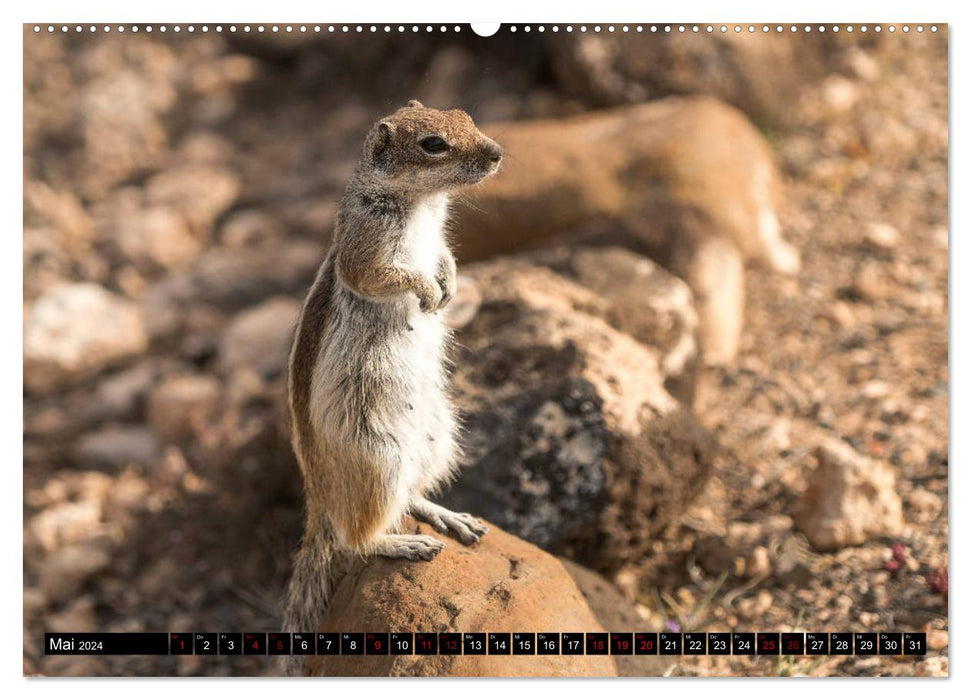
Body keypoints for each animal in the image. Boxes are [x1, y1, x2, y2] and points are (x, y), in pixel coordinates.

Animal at [280, 101, 502, 668]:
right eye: (432, 145)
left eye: (466, 115)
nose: (497, 153)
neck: (421, 203)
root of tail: (320, 504)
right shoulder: (366, 250)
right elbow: (384, 276)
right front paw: (426, 293)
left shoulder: (439, 238)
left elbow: (445, 256)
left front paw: (448, 285)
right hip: (378, 459)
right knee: (359, 539)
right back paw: (406, 545)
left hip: (437, 439)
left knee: (410, 498)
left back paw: (450, 518)